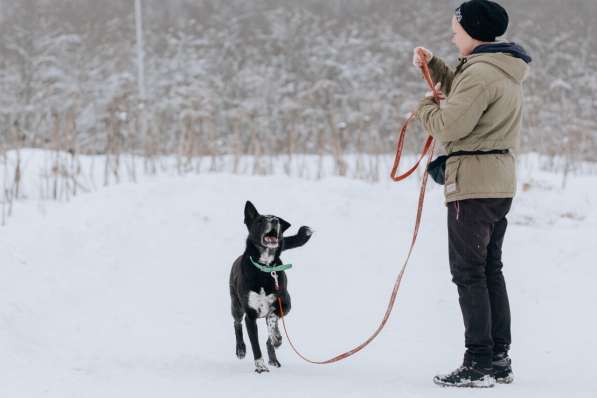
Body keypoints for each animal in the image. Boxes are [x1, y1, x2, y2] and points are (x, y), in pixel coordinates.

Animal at [228, 202, 312, 374]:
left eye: (276, 219)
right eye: (260, 220)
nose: (274, 221)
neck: (265, 268)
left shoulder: (285, 305)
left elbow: (272, 318)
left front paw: (276, 337)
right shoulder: (250, 316)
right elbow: (255, 344)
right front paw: (260, 367)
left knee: (269, 337)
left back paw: (274, 353)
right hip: (236, 305)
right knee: (236, 323)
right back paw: (241, 349)